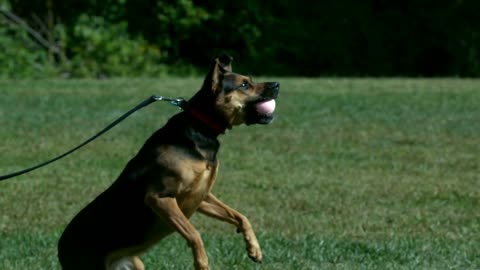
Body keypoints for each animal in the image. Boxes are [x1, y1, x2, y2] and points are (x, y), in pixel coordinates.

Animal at [57, 53, 280, 270]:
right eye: (244, 85)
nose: (277, 84)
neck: (201, 127)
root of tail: (60, 249)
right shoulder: (160, 198)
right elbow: (194, 234)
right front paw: (201, 263)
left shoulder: (201, 196)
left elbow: (241, 217)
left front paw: (254, 249)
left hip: (135, 265)